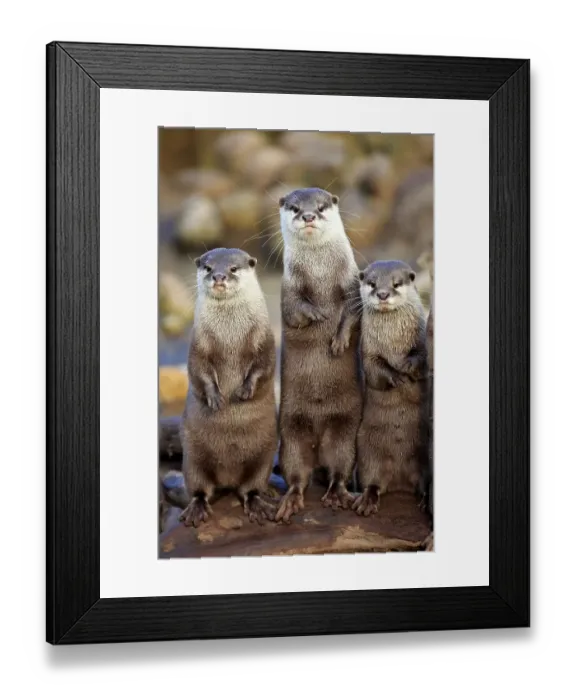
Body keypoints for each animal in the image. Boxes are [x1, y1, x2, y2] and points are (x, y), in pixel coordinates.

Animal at [178, 248, 278, 527]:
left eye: (233, 268)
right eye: (208, 267)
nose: (219, 276)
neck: (230, 335)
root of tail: (228, 478)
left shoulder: (264, 339)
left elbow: (264, 366)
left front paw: (244, 391)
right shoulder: (198, 344)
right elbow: (199, 371)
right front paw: (216, 398)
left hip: (264, 453)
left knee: (251, 487)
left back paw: (259, 503)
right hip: (192, 456)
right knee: (200, 487)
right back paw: (197, 509)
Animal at [275, 188, 363, 523]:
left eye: (322, 206)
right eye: (295, 207)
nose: (309, 216)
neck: (320, 274)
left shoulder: (352, 282)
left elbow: (352, 312)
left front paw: (338, 340)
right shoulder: (288, 288)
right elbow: (295, 310)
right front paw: (317, 313)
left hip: (346, 429)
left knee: (340, 467)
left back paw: (339, 494)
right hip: (289, 431)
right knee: (297, 473)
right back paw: (291, 501)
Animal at [353, 260, 429, 517]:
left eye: (396, 283)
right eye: (372, 283)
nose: (383, 294)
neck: (393, 341)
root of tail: (399, 481)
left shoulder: (422, 339)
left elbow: (421, 358)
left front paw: (407, 366)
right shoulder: (368, 350)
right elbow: (376, 370)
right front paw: (397, 376)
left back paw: (425, 499)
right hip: (366, 451)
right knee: (372, 481)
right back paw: (367, 500)